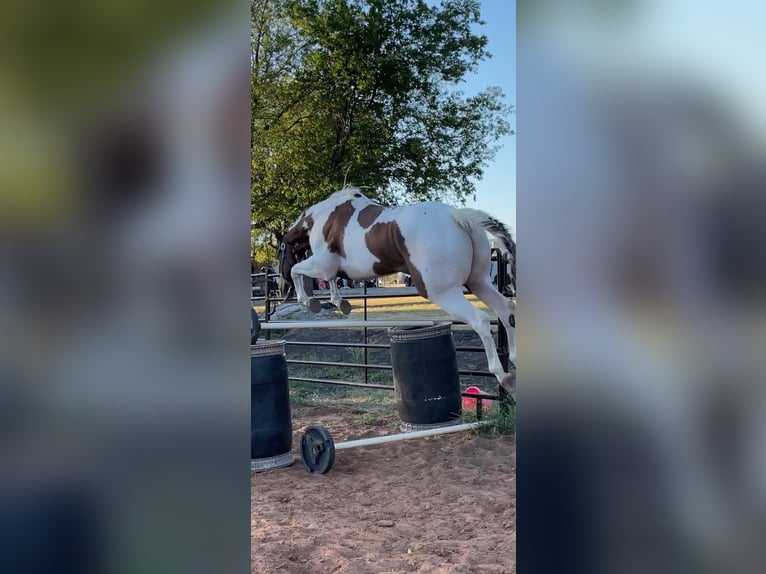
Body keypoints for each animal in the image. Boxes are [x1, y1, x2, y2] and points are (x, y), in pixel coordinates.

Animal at [280, 187, 520, 394]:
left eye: (283, 249)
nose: (282, 281)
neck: (325, 217)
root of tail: (457, 216)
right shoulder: (330, 268)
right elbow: (330, 281)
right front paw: (339, 302)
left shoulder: (322, 264)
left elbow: (297, 270)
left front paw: (308, 301)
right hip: (478, 282)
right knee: (506, 309)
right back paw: (514, 359)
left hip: (444, 292)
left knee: (480, 319)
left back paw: (503, 376)